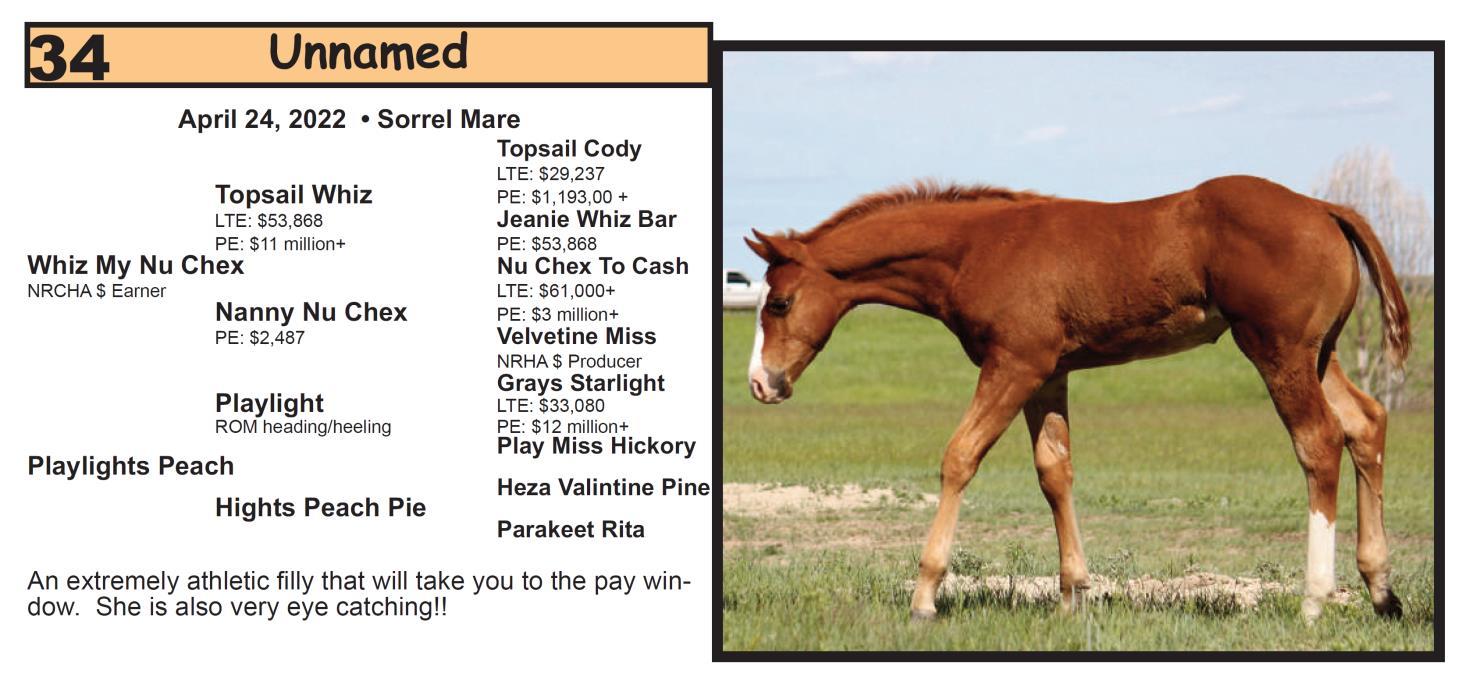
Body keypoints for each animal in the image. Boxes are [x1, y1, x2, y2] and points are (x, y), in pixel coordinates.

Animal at [742, 175, 1410, 622]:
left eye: (780, 304)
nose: (761, 383)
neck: (979, 247)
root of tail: (1325, 207)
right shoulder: (1048, 372)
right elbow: (1053, 471)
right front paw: (1072, 596)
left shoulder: (1014, 363)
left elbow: (959, 457)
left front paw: (925, 596)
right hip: (1318, 353)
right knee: (1366, 424)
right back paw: (1381, 592)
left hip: (1279, 351)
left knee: (1319, 442)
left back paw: (1314, 600)